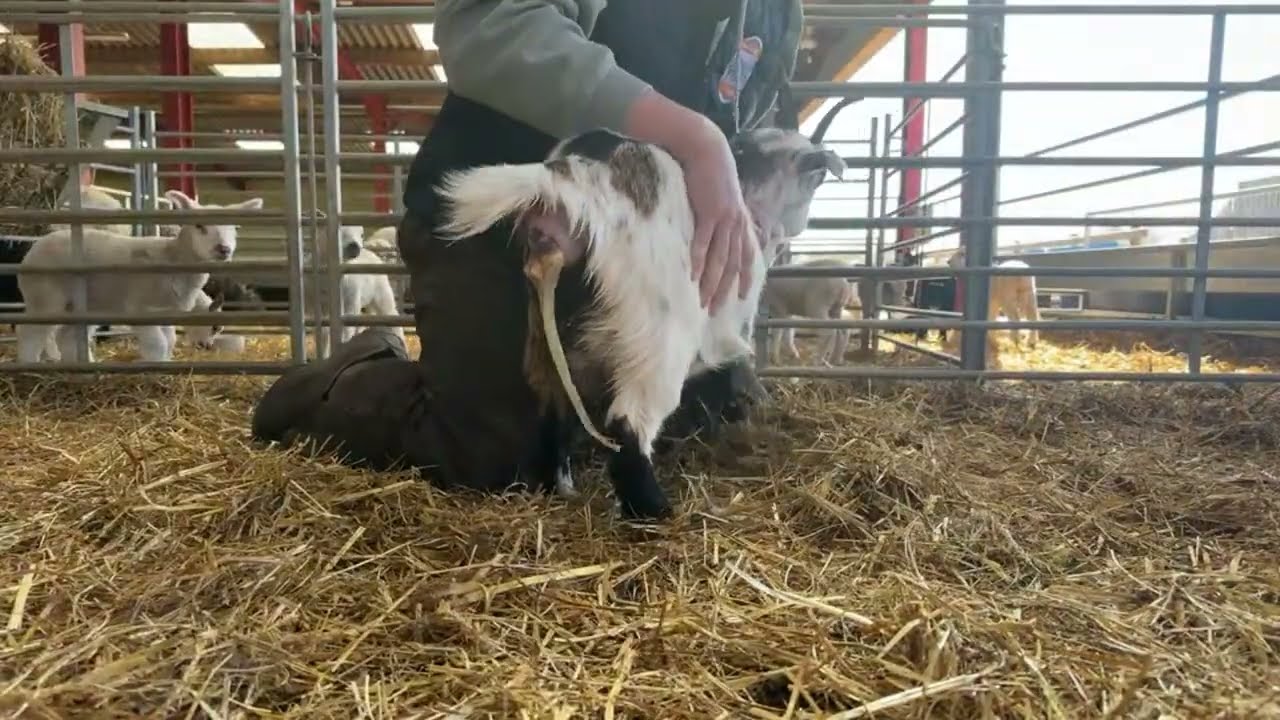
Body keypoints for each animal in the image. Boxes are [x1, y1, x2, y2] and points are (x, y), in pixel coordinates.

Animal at [16, 190, 262, 363]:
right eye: (199, 226)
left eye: (234, 228)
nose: (224, 249)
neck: (172, 257)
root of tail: (33, 249)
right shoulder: (141, 309)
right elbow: (158, 344)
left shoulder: (166, 313)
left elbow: (170, 341)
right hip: (45, 298)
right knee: (30, 334)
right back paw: (29, 365)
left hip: (82, 306)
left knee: (66, 336)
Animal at [436, 126, 844, 519]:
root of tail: (579, 175)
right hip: (655, 345)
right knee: (629, 426)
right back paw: (656, 513)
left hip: (546, 341)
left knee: (553, 414)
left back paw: (562, 489)